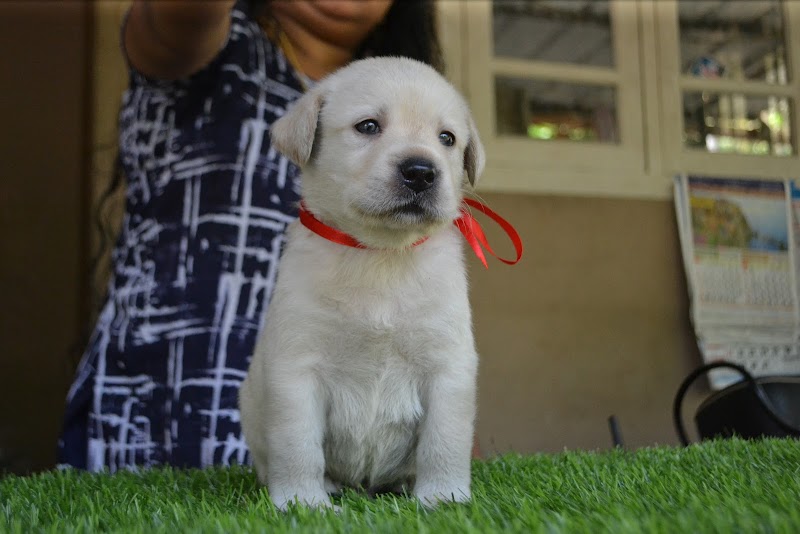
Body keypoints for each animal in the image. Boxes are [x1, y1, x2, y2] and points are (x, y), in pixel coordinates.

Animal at [239, 56, 485, 511]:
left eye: (446, 138)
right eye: (368, 126)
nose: (421, 171)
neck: (380, 254)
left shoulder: (448, 364)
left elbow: (445, 439)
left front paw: (443, 498)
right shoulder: (296, 367)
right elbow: (297, 444)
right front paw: (302, 503)